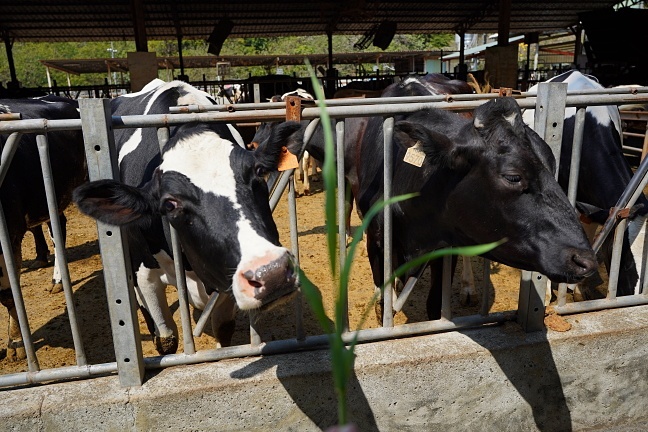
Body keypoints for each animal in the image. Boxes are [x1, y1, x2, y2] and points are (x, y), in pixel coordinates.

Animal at [74, 78, 304, 354]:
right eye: (169, 204)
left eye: (258, 173)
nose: (271, 273)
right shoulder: (144, 275)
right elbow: (166, 338)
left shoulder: (223, 274)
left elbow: (223, 332)